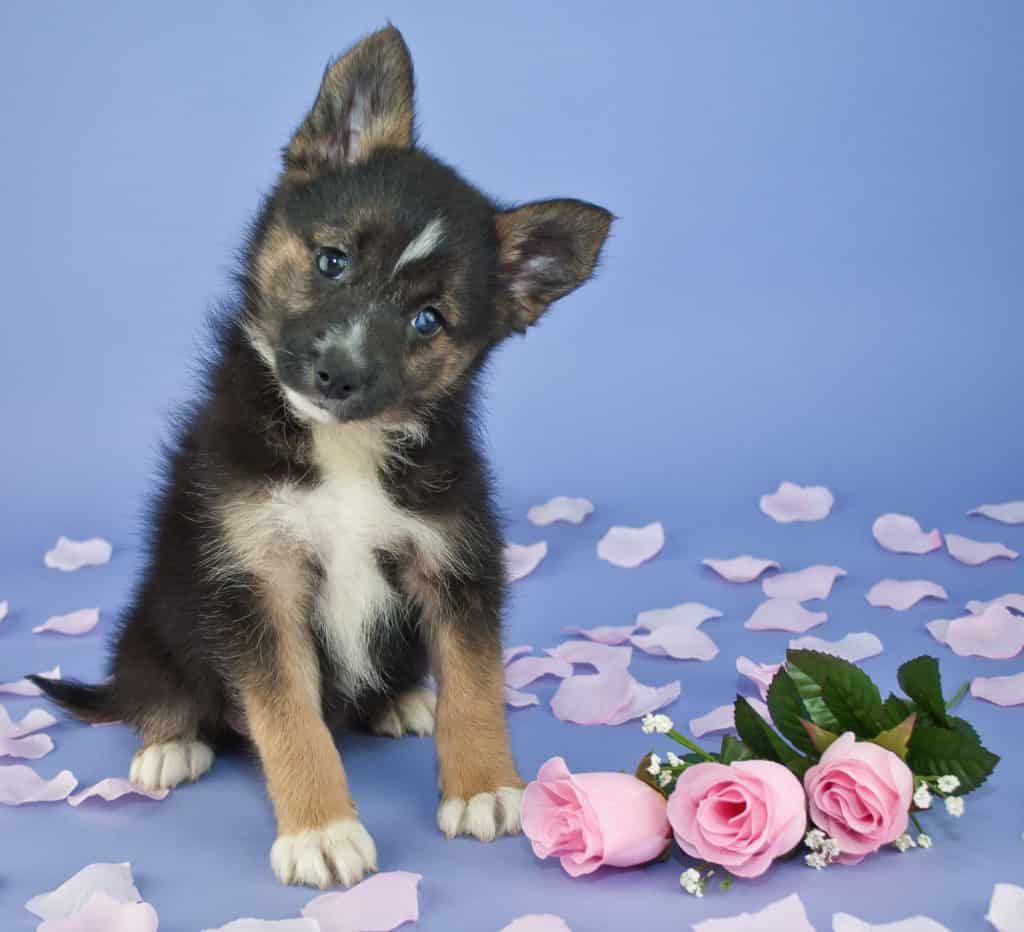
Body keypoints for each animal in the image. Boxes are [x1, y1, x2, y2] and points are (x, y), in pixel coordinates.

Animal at [32, 23, 610, 888]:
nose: (338, 373)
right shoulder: (255, 583)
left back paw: (398, 701)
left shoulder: (456, 559)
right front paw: (321, 830)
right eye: (332, 260)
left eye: (429, 320)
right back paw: (170, 743)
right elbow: (288, 719)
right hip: (157, 615)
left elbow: (476, 680)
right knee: (154, 689)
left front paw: (482, 785)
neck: (341, 450)